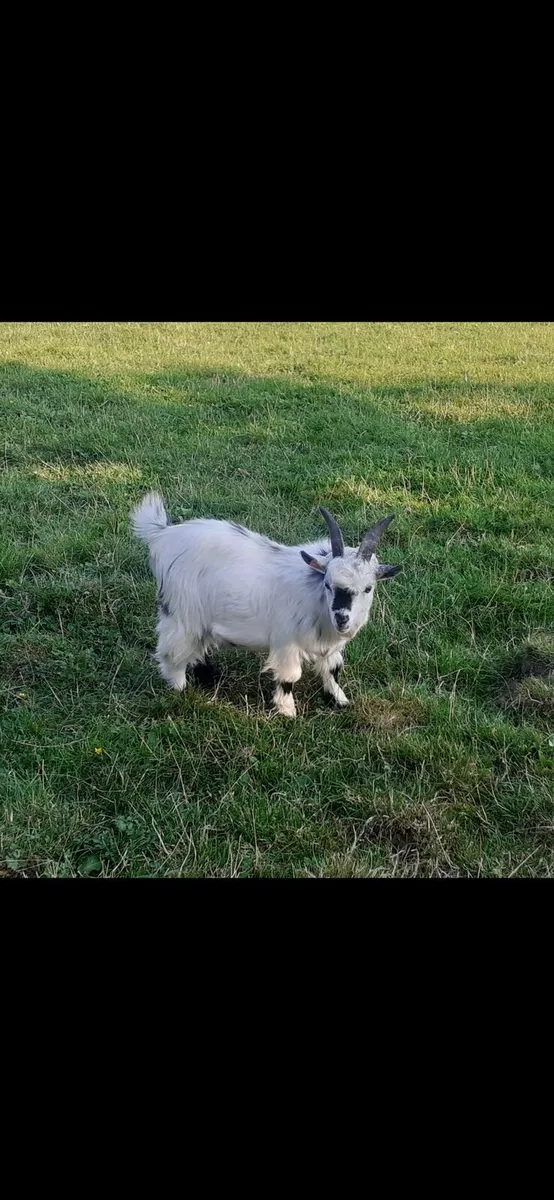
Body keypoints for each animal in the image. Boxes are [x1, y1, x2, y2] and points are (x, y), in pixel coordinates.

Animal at [132, 493, 402, 717]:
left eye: (368, 588)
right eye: (327, 583)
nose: (342, 618)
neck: (314, 596)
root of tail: (163, 534)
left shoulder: (329, 647)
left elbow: (333, 669)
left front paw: (340, 700)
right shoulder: (287, 642)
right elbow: (290, 677)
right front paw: (287, 711)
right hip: (183, 613)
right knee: (173, 652)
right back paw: (180, 688)